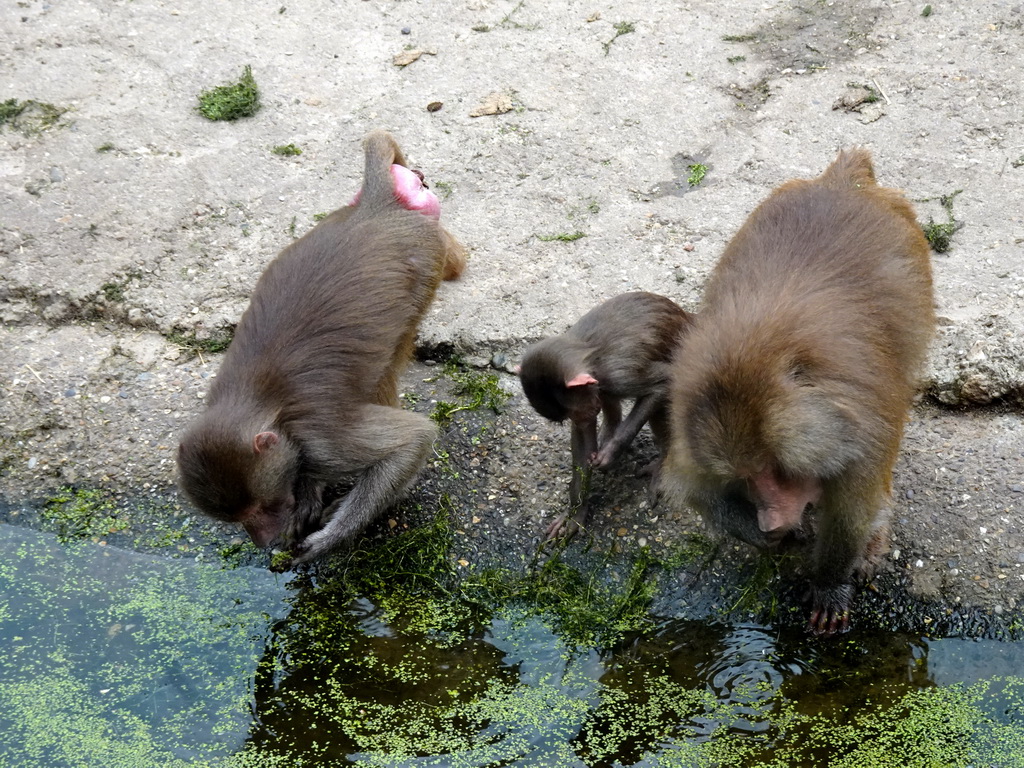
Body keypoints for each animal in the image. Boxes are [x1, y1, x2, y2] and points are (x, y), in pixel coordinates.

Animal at [178, 129, 466, 569]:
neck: (262, 408)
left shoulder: (322, 438)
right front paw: (309, 493)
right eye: (239, 519)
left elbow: (413, 439)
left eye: (260, 508)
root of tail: (375, 209)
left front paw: (329, 537)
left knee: (391, 359)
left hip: (425, 260)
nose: (262, 541)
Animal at [520, 292, 696, 540]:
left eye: (576, 412)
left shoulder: (619, 375)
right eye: (570, 417)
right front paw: (576, 511)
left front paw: (610, 453)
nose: (583, 417)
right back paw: (610, 427)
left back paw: (661, 464)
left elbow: (663, 383)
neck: (590, 357)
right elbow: (582, 444)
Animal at [663, 150, 937, 638]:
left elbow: (852, 511)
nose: (770, 520)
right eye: (749, 477)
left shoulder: (859, 434)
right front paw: (768, 536)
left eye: (779, 471)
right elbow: (701, 494)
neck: (752, 357)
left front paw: (829, 584)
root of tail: (841, 184)